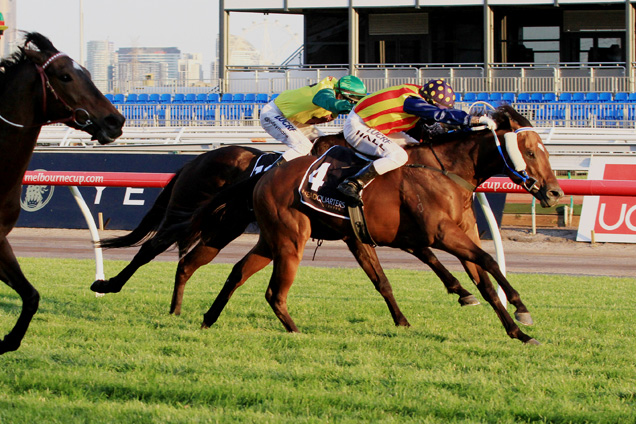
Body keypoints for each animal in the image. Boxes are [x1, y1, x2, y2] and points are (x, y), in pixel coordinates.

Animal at [0, 32, 124, 354]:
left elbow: (32, 296)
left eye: (89, 73)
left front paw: (7, 342)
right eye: (65, 76)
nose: (115, 121)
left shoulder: (0, 239)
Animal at [193, 105, 560, 344]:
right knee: (274, 291)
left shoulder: (453, 235)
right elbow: (487, 261)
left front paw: (518, 332)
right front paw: (521, 308)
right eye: (530, 151)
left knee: (239, 272)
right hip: (289, 240)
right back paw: (296, 332)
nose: (555, 192)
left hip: (271, 240)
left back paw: (209, 318)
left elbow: (484, 282)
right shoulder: (441, 235)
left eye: (545, 150)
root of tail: (265, 175)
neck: (445, 171)